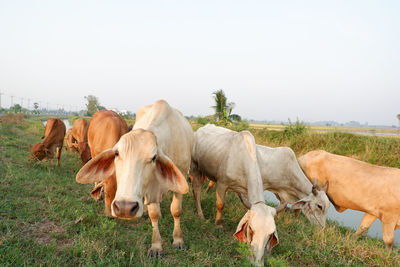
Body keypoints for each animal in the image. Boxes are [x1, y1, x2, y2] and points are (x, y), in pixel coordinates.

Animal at [76, 100, 195, 258]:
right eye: (116, 153)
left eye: (154, 157)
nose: (124, 208)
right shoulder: (150, 189)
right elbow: (153, 214)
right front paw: (156, 246)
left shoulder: (181, 176)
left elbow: (176, 210)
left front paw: (178, 240)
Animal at [191, 125, 278, 266]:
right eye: (251, 229)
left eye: (270, 234)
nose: (257, 261)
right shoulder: (222, 183)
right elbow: (220, 204)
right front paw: (218, 224)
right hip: (195, 166)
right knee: (197, 189)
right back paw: (200, 213)